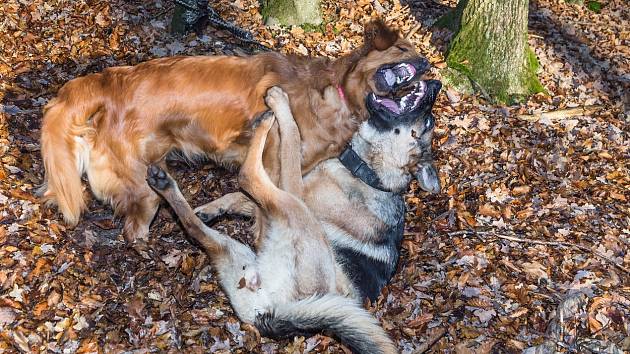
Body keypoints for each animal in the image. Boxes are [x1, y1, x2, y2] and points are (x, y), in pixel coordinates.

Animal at [38, 19, 424, 248]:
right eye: (402, 49)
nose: (426, 64)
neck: (336, 94)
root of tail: (108, 80)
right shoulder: (277, 165)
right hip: (143, 188)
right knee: (135, 228)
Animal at [146, 86, 398, 354]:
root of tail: (267, 314)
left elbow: (290, 139)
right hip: (241, 248)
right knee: (197, 225)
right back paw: (164, 183)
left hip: (292, 213)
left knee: (246, 177)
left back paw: (266, 120)